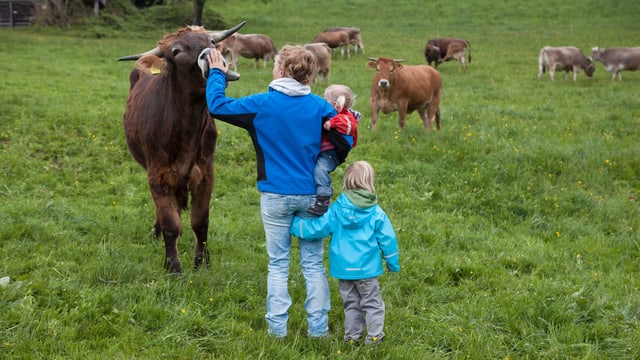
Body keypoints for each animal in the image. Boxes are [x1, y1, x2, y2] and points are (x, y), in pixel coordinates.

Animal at [117, 20, 248, 272]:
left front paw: (202, 262)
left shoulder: (205, 173)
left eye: (212, 41)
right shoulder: (157, 176)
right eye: (176, 51)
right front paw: (173, 266)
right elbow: (171, 223)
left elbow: (200, 221)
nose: (209, 56)